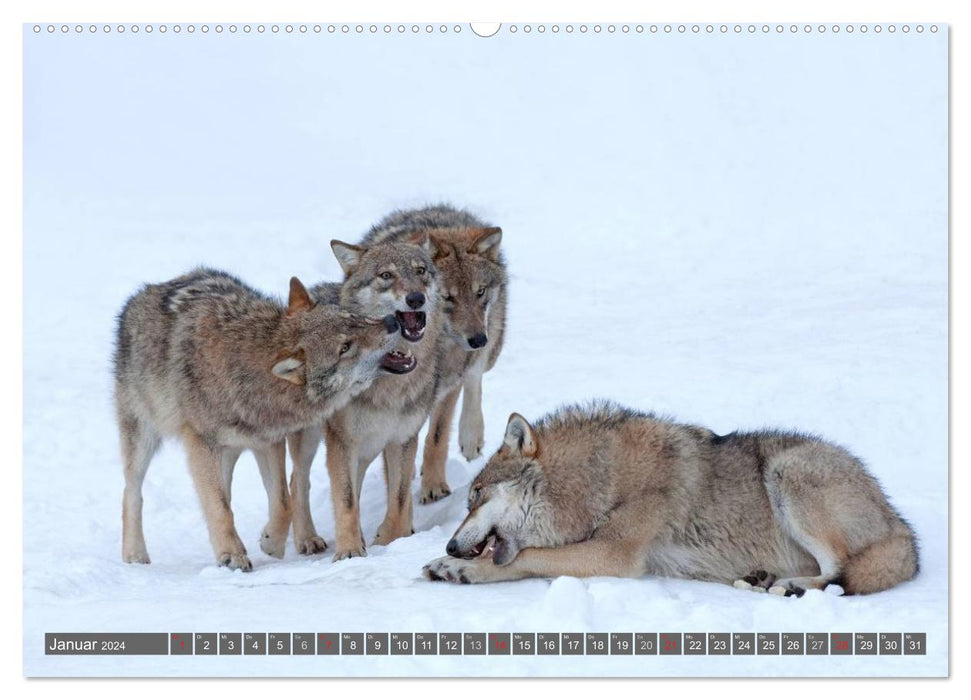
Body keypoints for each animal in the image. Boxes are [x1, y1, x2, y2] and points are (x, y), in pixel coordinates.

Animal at [114, 266, 410, 568]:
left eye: (353, 319)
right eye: (345, 348)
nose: (391, 322)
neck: (245, 373)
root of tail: (148, 291)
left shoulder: (268, 441)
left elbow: (282, 502)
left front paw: (271, 543)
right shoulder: (201, 444)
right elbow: (219, 507)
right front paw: (232, 555)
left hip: (233, 451)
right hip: (143, 438)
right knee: (131, 492)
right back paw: (135, 554)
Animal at [284, 227, 444, 560]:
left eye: (421, 271)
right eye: (386, 275)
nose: (416, 298)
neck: (389, 388)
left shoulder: (403, 438)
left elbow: (398, 498)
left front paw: (392, 542)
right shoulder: (342, 443)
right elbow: (345, 502)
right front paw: (349, 553)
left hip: (368, 449)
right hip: (312, 439)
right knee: (297, 481)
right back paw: (308, 539)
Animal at [426, 402, 920, 592]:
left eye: (475, 495)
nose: (449, 542)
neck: (596, 479)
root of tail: (902, 527)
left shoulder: (614, 554)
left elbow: (527, 558)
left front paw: (460, 568)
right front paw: (448, 561)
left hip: (786, 472)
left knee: (838, 573)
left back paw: (790, 587)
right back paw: (761, 580)